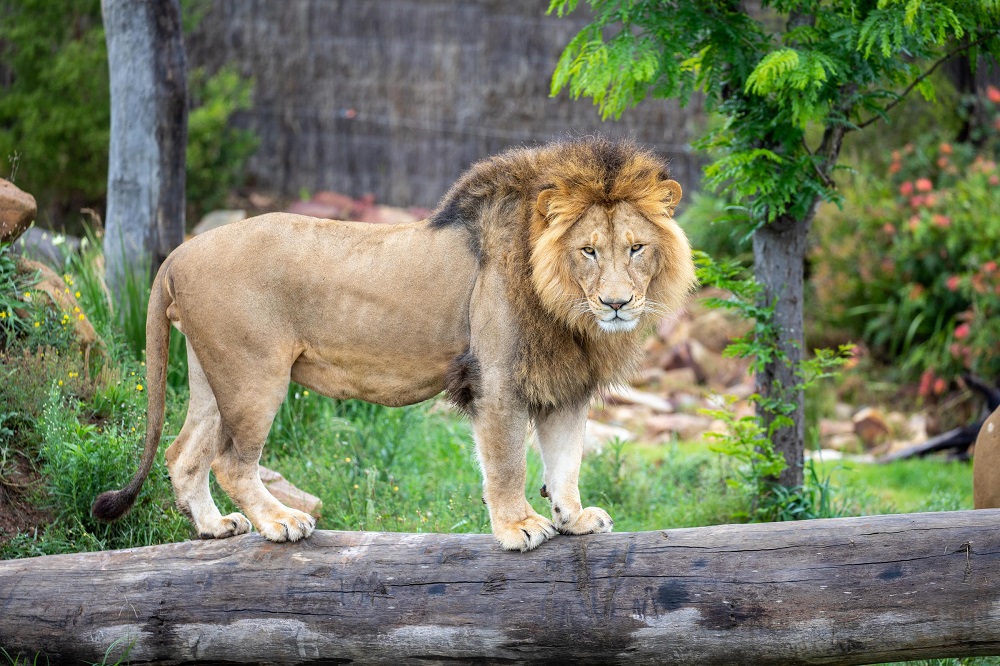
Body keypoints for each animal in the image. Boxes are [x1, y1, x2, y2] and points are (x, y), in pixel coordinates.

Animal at [94, 136, 696, 548]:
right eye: (588, 251)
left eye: (637, 248)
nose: (617, 303)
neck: (567, 310)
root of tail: (179, 252)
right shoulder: (497, 379)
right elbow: (507, 464)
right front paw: (519, 526)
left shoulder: (564, 385)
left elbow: (566, 462)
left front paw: (574, 518)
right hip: (252, 375)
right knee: (230, 462)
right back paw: (280, 521)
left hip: (210, 373)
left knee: (183, 453)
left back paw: (214, 526)